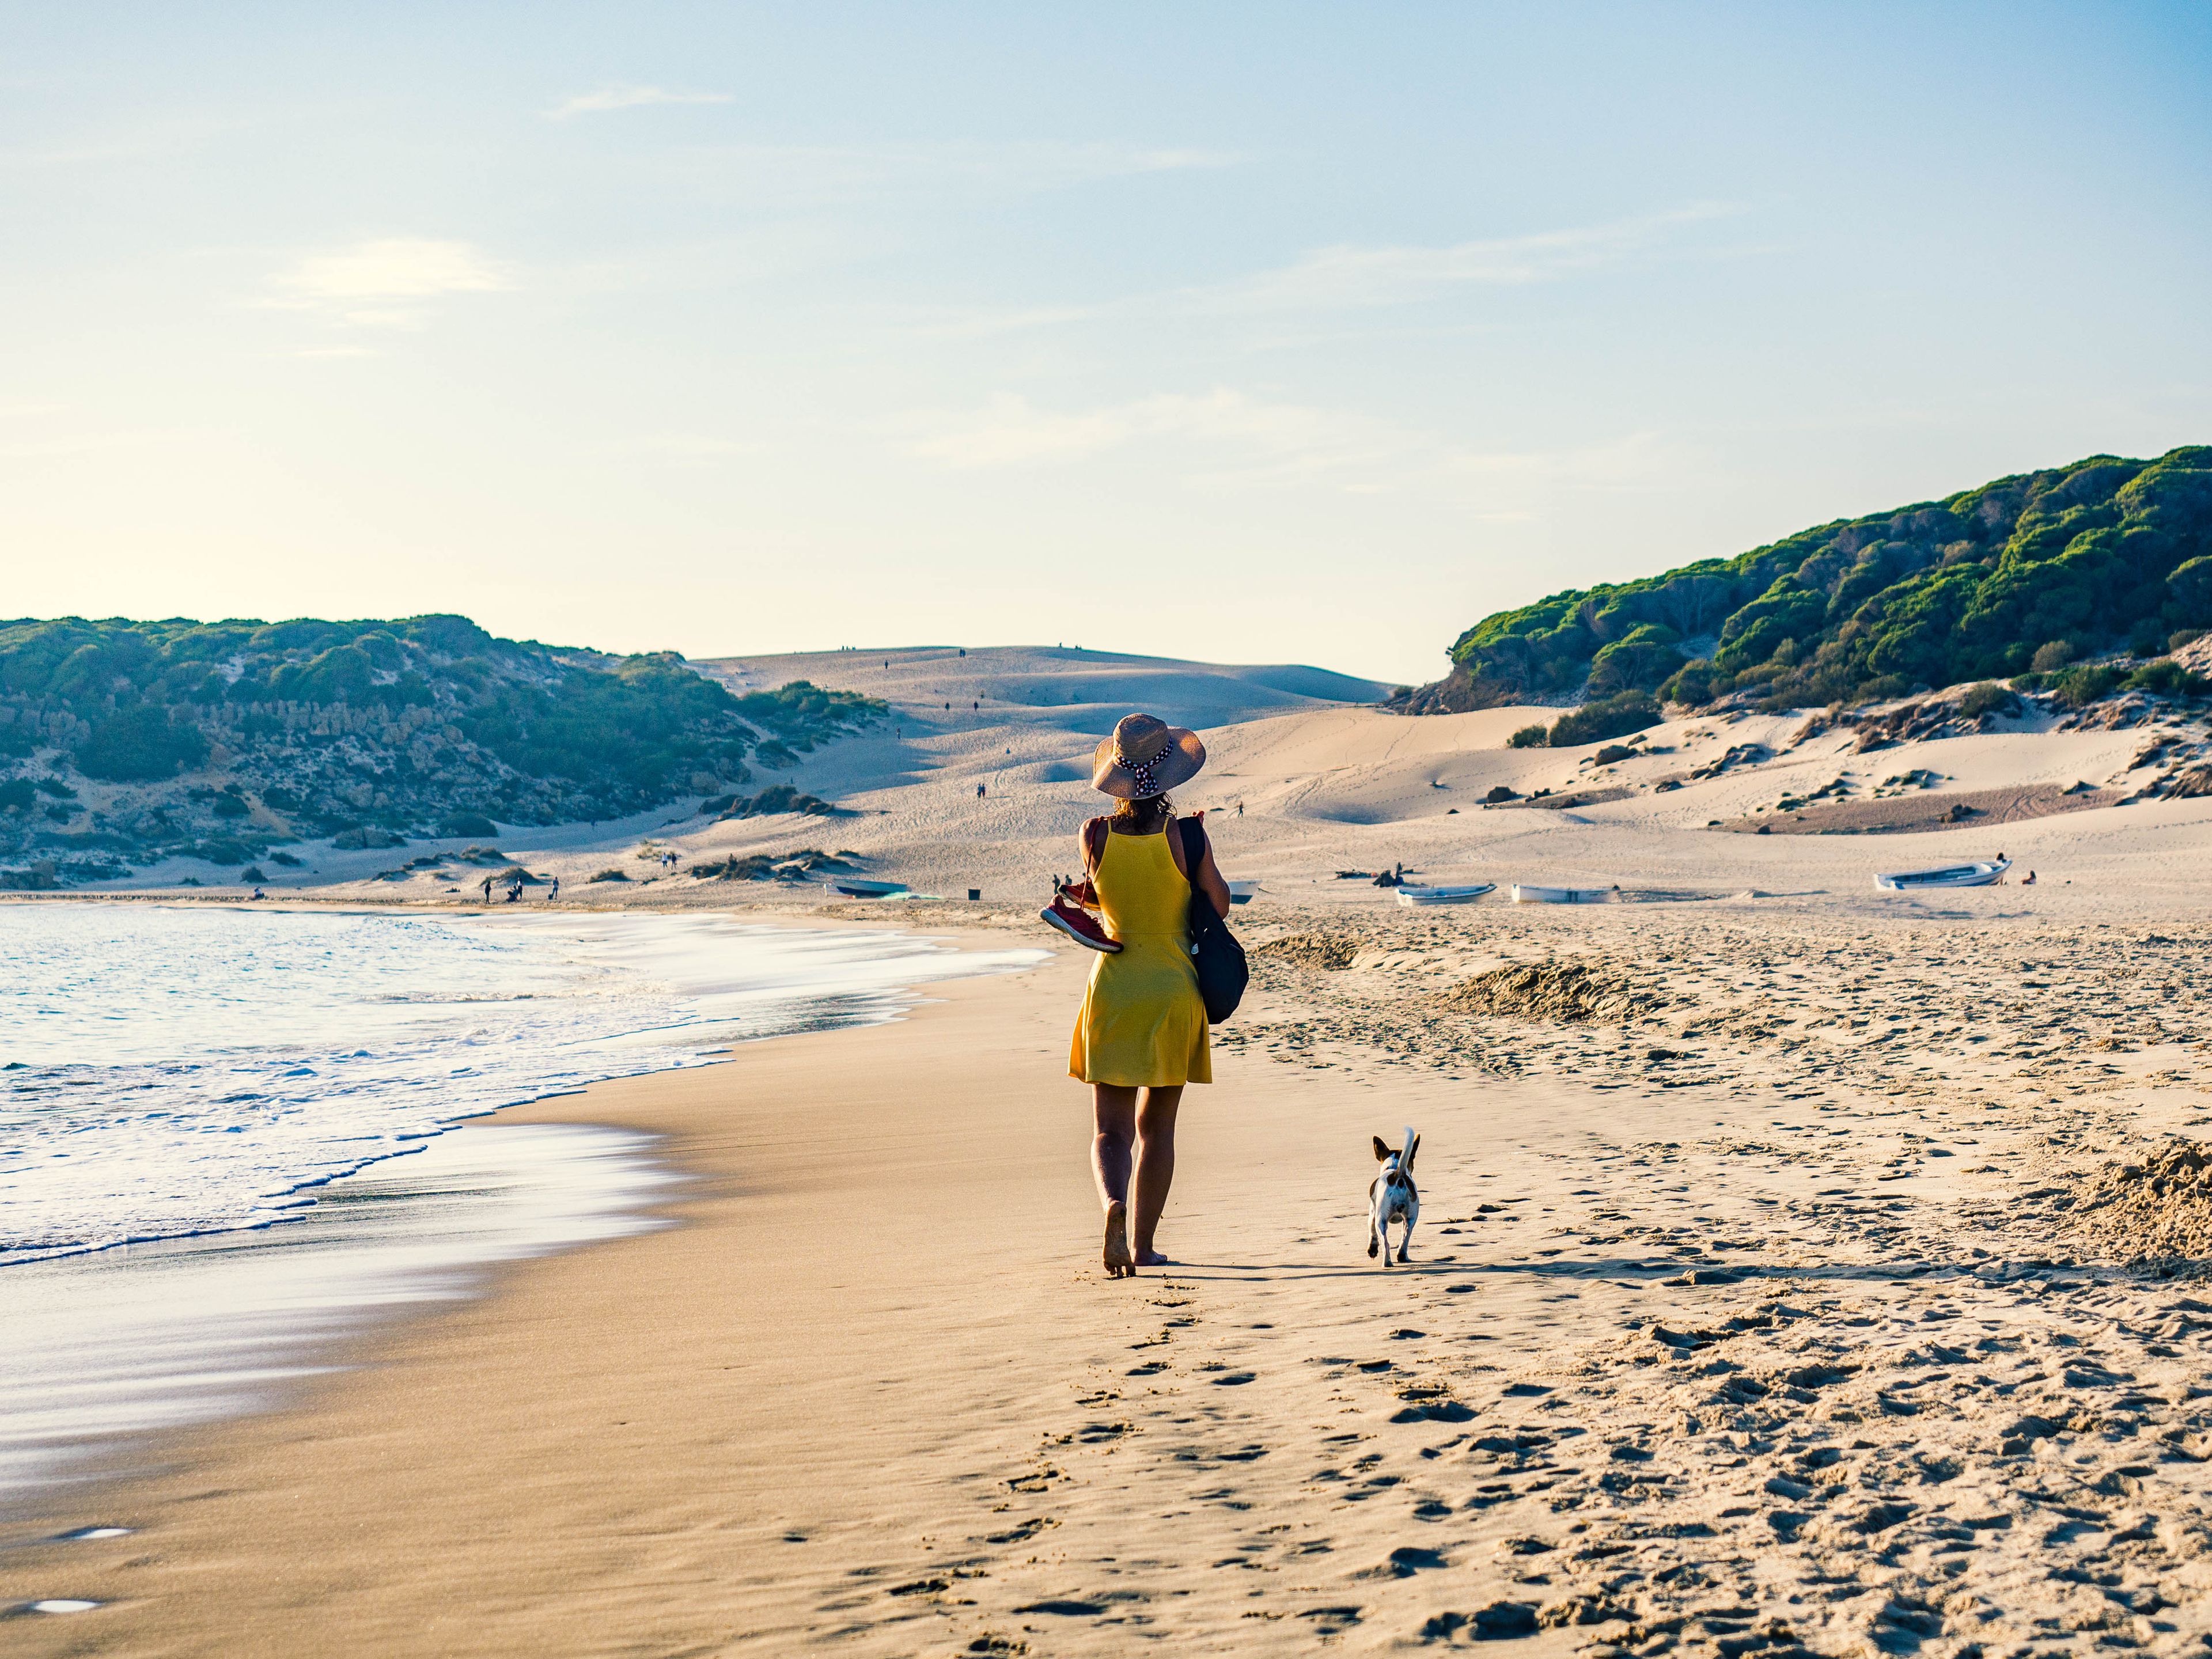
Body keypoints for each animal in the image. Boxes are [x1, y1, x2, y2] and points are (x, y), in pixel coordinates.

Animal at [1362, 1132, 1415, 1274]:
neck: (1393, 1167)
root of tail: (1399, 1175)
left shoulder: (1373, 1214)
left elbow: (1372, 1233)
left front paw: (1372, 1250)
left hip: (1380, 1219)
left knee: (1385, 1243)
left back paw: (1387, 1263)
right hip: (1411, 1218)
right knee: (1405, 1237)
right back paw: (1403, 1256)